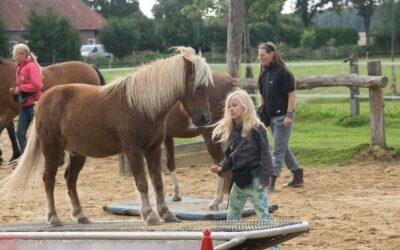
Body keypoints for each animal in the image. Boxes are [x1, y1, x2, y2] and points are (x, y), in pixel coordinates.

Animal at [0, 46, 214, 226]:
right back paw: (54, 217)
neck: (142, 105)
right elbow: (142, 183)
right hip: (52, 150)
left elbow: (158, 182)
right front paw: (149, 215)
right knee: (49, 180)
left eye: (207, 86)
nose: (205, 118)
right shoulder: (133, 150)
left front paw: (166, 213)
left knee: (70, 179)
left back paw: (81, 215)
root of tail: (43, 100)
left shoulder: (153, 149)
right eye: (197, 86)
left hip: (78, 154)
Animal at [162, 72, 238, 209]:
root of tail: (230, 81)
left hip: (210, 135)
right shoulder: (168, 137)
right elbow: (170, 164)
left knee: (218, 160)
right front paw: (176, 194)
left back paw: (216, 201)